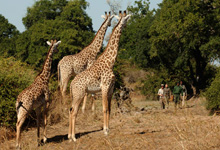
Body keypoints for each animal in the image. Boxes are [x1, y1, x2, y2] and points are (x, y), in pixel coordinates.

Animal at [69, 10, 131, 142]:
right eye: (124, 19)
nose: (126, 25)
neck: (110, 62)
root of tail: (71, 84)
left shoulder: (111, 89)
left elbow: (110, 109)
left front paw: (108, 129)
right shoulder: (104, 87)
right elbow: (104, 108)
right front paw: (105, 131)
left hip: (75, 95)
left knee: (71, 110)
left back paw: (69, 136)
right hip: (79, 94)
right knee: (73, 112)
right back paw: (73, 137)